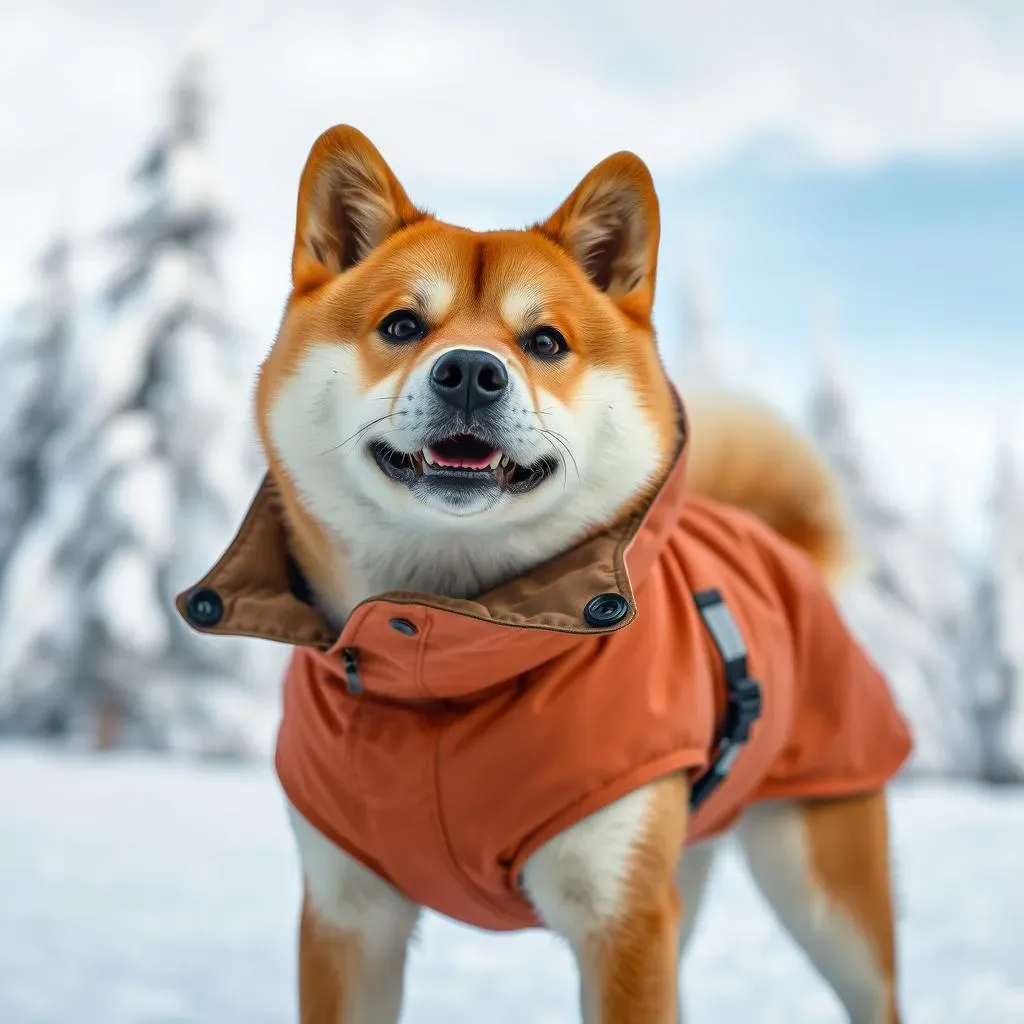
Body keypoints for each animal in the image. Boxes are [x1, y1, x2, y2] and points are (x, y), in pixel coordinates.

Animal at [176, 123, 913, 1019]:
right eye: (402, 325)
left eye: (545, 342)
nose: (469, 370)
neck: (447, 652)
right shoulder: (348, 915)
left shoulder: (620, 914)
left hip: (826, 885)